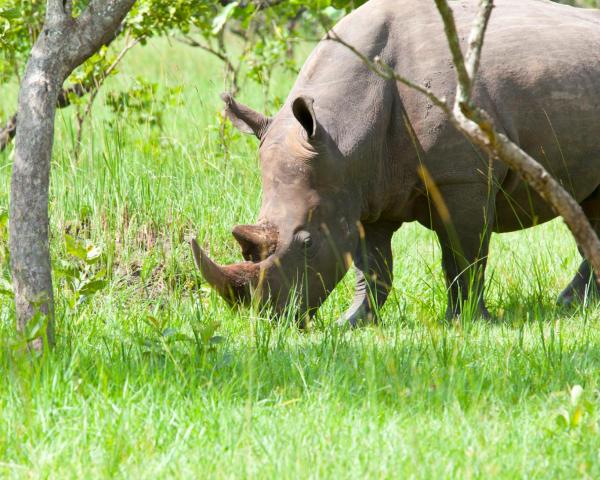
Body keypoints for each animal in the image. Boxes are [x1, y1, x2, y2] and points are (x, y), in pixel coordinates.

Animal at [191, 0, 600, 324]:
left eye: (307, 243)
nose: (269, 318)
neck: (341, 137)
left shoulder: (461, 179)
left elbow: (463, 254)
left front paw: (465, 322)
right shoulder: (362, 189)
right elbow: (373, 266)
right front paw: (352, 323)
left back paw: (569, 305)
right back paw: (571, 305)